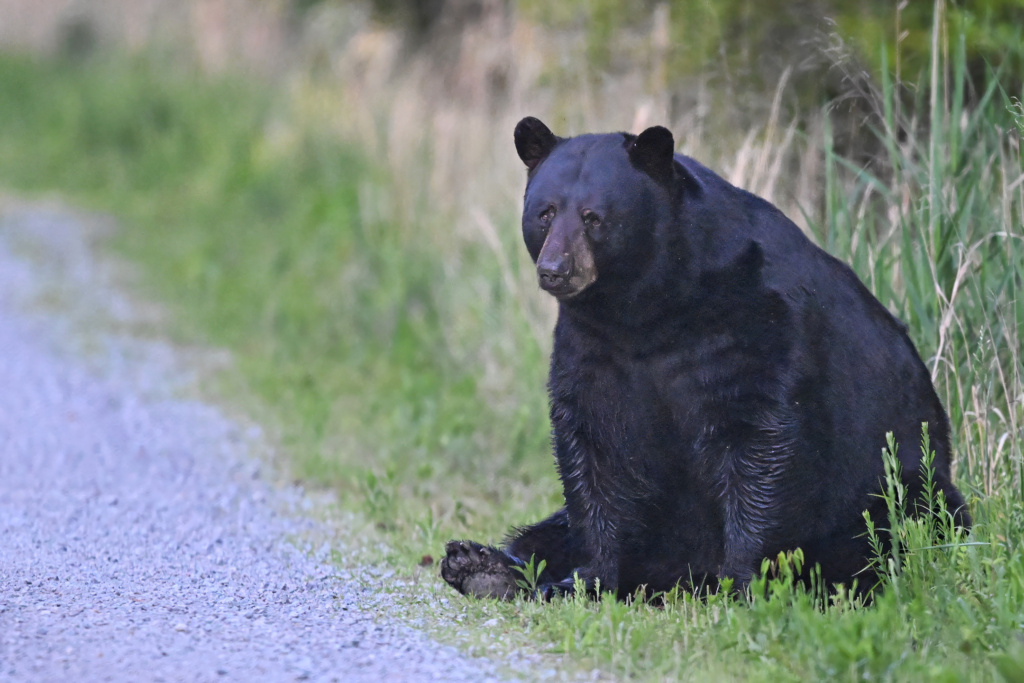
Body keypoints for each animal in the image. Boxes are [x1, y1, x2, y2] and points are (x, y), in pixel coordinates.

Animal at [438, 120, 966, 602]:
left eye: (594, 217)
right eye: (545, 212)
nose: (555, 270)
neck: (647, 308)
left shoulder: (757, 326)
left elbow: (763, 441)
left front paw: (742, 581)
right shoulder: (592, 346)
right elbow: (593, 447)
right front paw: (587, 579)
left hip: (899, 483)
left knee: (902, 519)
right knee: (545, 532)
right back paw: (481, 565)